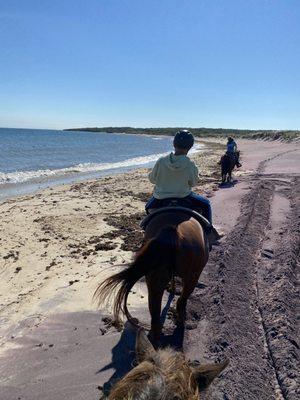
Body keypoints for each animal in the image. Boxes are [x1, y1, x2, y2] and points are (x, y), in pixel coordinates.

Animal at [95, 211, 210, 342]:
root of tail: (171, 231)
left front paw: (172, 289)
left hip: (154, 278)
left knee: (154, 311)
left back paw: (155, 337)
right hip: (192, 276)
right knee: (181, 301)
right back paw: (180, 321)